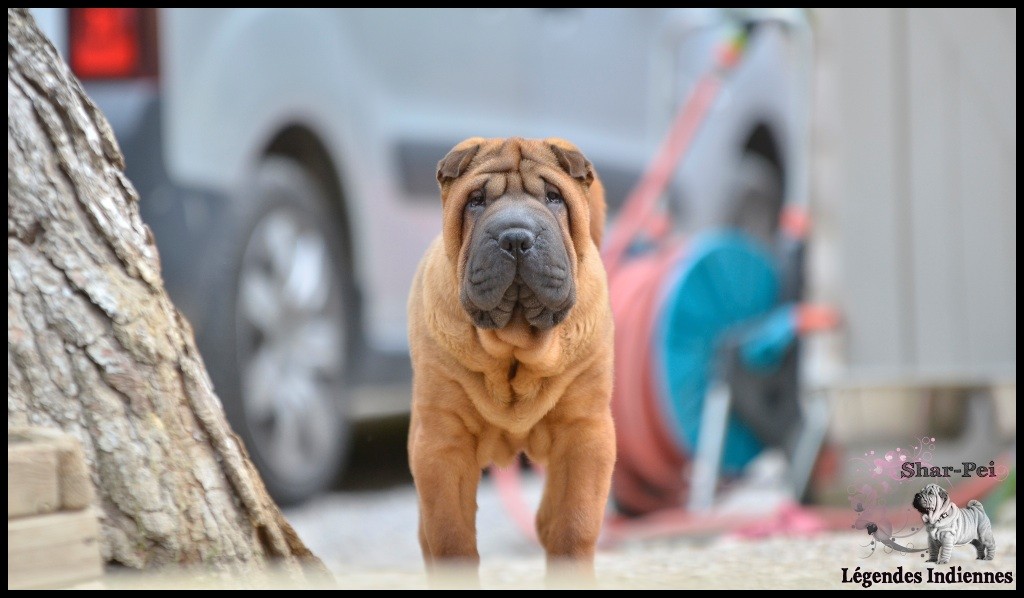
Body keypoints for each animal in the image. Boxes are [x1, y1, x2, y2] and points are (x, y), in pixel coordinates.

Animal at [405, 136, 614, 577]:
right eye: (476, 201)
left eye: (554, 197)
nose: (515, 238)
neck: (516, 348)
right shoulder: (440, 442)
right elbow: (449, 535)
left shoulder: (586, 432)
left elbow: (575, 524)